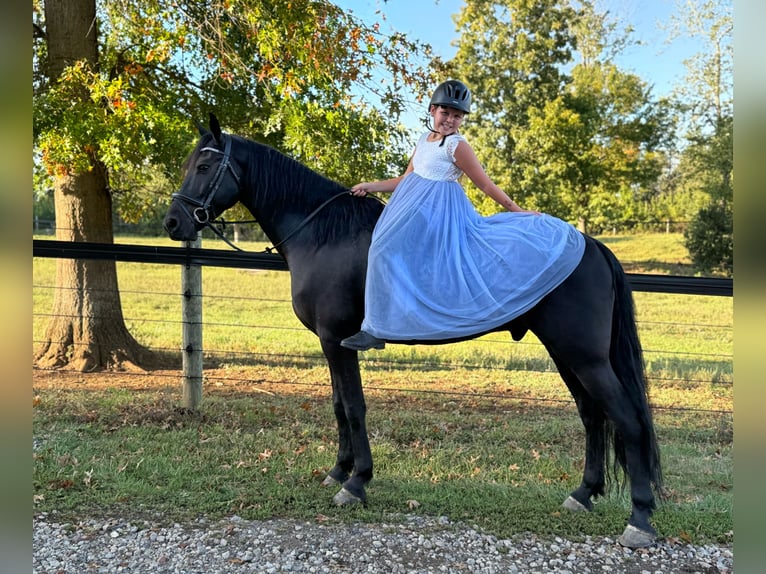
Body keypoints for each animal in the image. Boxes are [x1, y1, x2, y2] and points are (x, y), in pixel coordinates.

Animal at [163, 114, 663, 548]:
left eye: (204, 166)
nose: (172, 222)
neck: (323, 234)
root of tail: (589, 244)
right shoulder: (329, 344)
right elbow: (339, 407)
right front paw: (339, 470)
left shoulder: (337, 341)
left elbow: (355, 408)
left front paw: (356, 482)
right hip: (567, 355)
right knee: (593, 416)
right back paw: (583, 494)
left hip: (583, 356)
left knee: (627, 420)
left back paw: (639, 519)